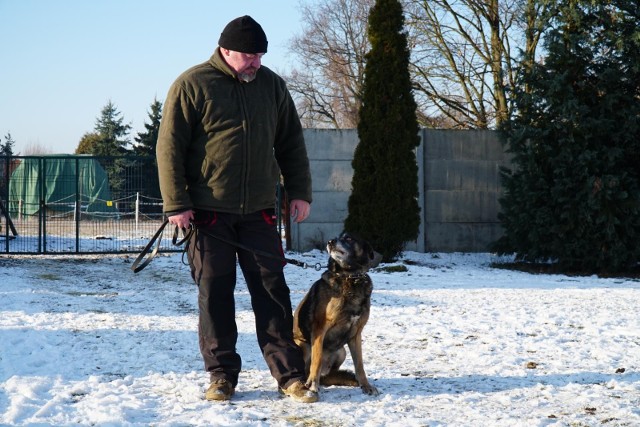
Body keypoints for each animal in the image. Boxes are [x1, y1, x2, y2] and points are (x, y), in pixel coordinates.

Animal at [294, 232, 380, 396]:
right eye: (338, 237)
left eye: (349, 238)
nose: (330, 242)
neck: (350, 276)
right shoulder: (319, 330)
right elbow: (316, 360)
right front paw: (313, 384)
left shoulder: (356, 335)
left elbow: (359, 365)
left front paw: (365, 385)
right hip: (303, 345)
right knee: (308, 367)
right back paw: (307, 382)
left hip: (341, 351)